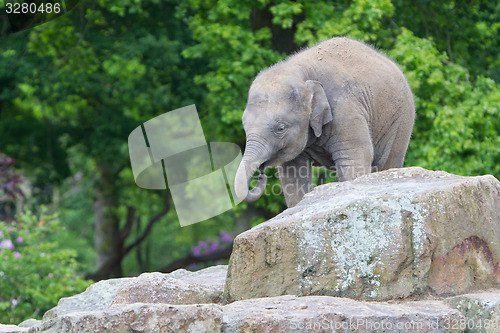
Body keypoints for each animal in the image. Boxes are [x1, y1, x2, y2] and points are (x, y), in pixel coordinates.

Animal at [234, 37, 414, 206]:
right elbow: (292, 173)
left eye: (280, 128)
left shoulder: (345, 110)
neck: (301, 73)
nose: (261, 175)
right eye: (245, 127)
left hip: (400, 120)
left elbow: (355, 158)